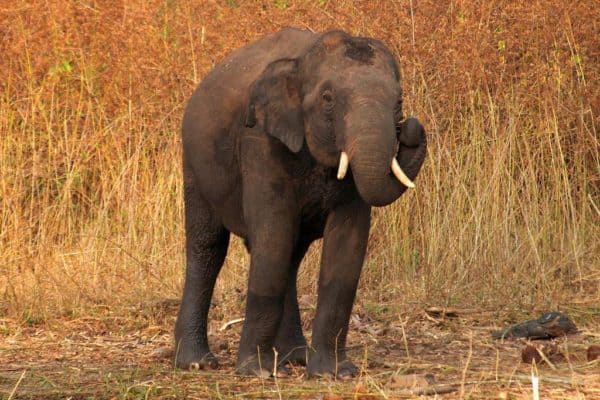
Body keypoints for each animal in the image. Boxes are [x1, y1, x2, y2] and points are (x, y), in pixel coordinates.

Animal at [173, 28, 426, 378]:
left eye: (399, 102)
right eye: (328, 98)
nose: (412, 127)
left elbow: (346, 247)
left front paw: (334, 373)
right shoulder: (260, 141)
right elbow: (272, 237)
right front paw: (257, 371)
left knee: (291, 255)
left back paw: (295, 357)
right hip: (195, 164)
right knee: (208, 247)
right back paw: (197, 362)